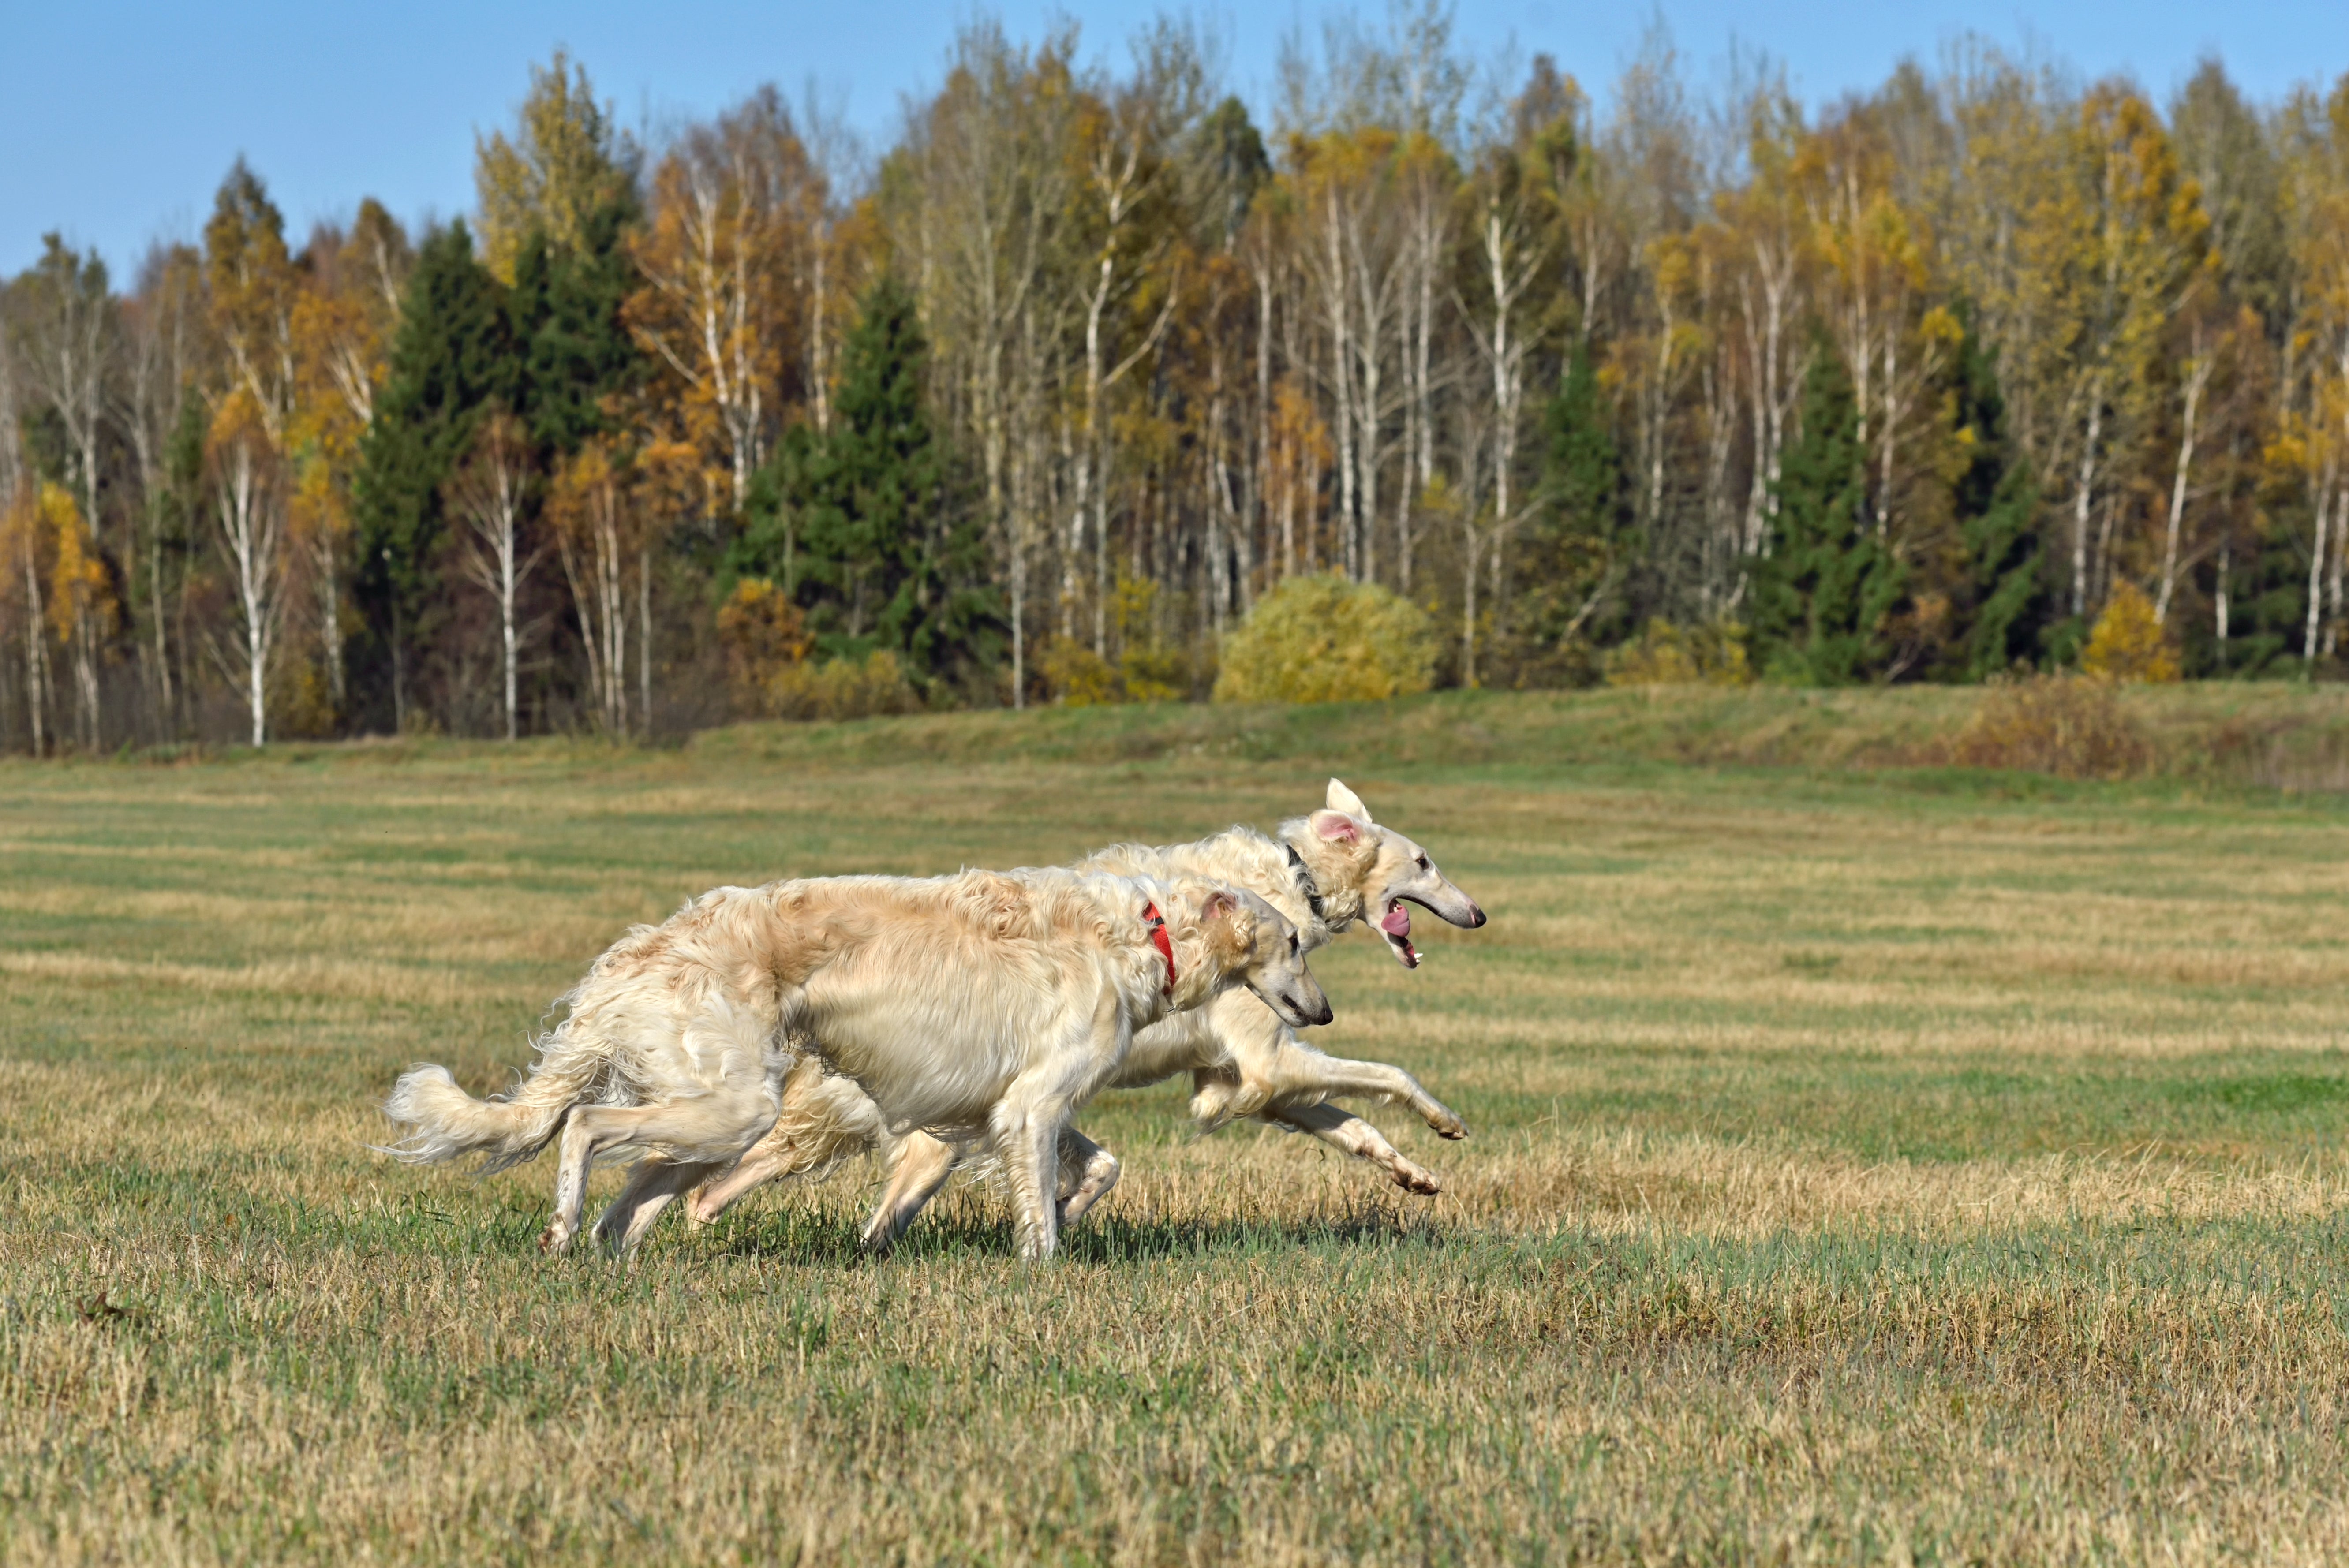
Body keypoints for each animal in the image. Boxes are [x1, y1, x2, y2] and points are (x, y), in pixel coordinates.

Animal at [380, 863, 1324, 1258]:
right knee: (582, 1124)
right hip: (730, 1106)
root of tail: (637, 953)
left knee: (639, 1201)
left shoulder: (1003, 1109)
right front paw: (1043, 1259)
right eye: (1294, 942)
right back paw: (562, 1228)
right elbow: (1049, 1214)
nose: (1325, 1010)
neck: (1145, 935)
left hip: (716, 1117)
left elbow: (1095, 1169)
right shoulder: (1031, 1103)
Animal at [686, 779, 1485, 1249]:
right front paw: (1446, 1120)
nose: (1477, 914)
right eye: (1423, 862)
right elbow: (1391, 1075)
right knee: (721, 1184)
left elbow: (1356, 1127)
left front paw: (1414, 1174)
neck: (1292, 881)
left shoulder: (1248, 1081)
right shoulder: (1267, 1059)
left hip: (934, 1135)